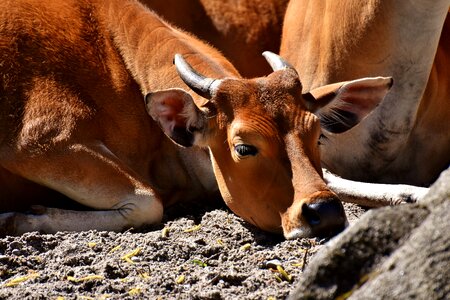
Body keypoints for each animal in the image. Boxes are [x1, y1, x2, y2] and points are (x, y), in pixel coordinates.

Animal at [0, 0, 394, 239]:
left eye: (318, 137)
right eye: (244, 147)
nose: (324, 212)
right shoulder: (39, 142)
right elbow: (147, 202)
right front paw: (22, 217)